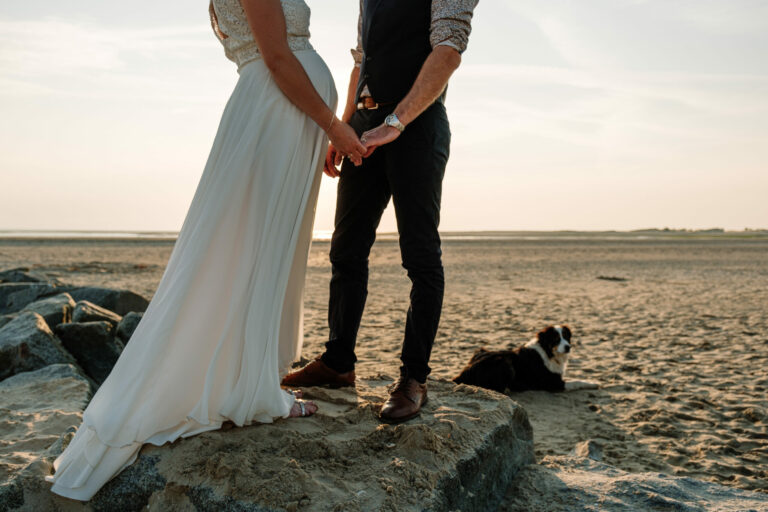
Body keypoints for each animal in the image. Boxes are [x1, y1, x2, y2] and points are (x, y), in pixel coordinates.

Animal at [452, 326, 596, 394]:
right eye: (556, 339)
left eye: (566, 337)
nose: (568, 347)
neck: (548, 352)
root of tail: (463, 372)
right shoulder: (553, 383)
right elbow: (576, 381)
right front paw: (593, 383)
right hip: (505, 362)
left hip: (482, 349)